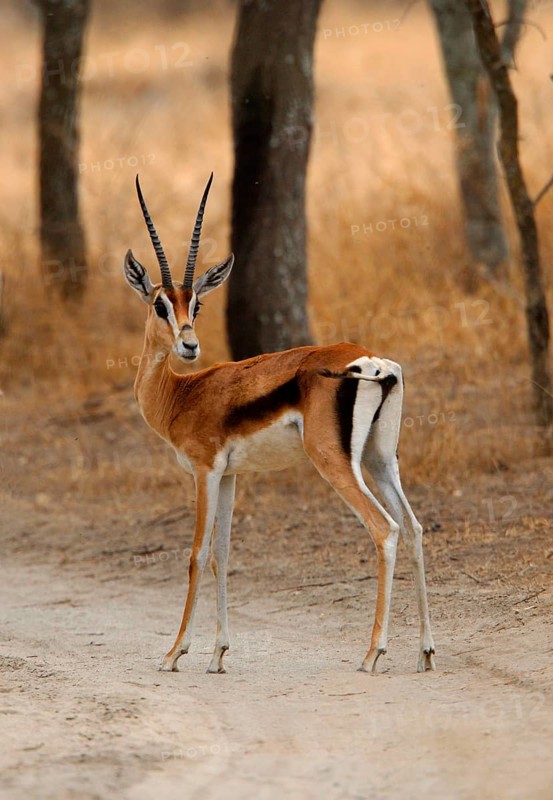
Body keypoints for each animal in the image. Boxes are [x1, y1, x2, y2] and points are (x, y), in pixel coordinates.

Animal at [124, 174, 436, 675]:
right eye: (160, 305)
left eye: (196, 304)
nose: (189, 346)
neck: (181, 393)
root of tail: (374, 363)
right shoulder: (230, 476)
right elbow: (223, 554)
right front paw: (218, 654)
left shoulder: (205, 472)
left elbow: (197, 554)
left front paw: (174, 653)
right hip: (380, 459)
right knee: (414, 527)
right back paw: (425, 652)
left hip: (335, 463)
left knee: (384, 529)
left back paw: (373, 653)